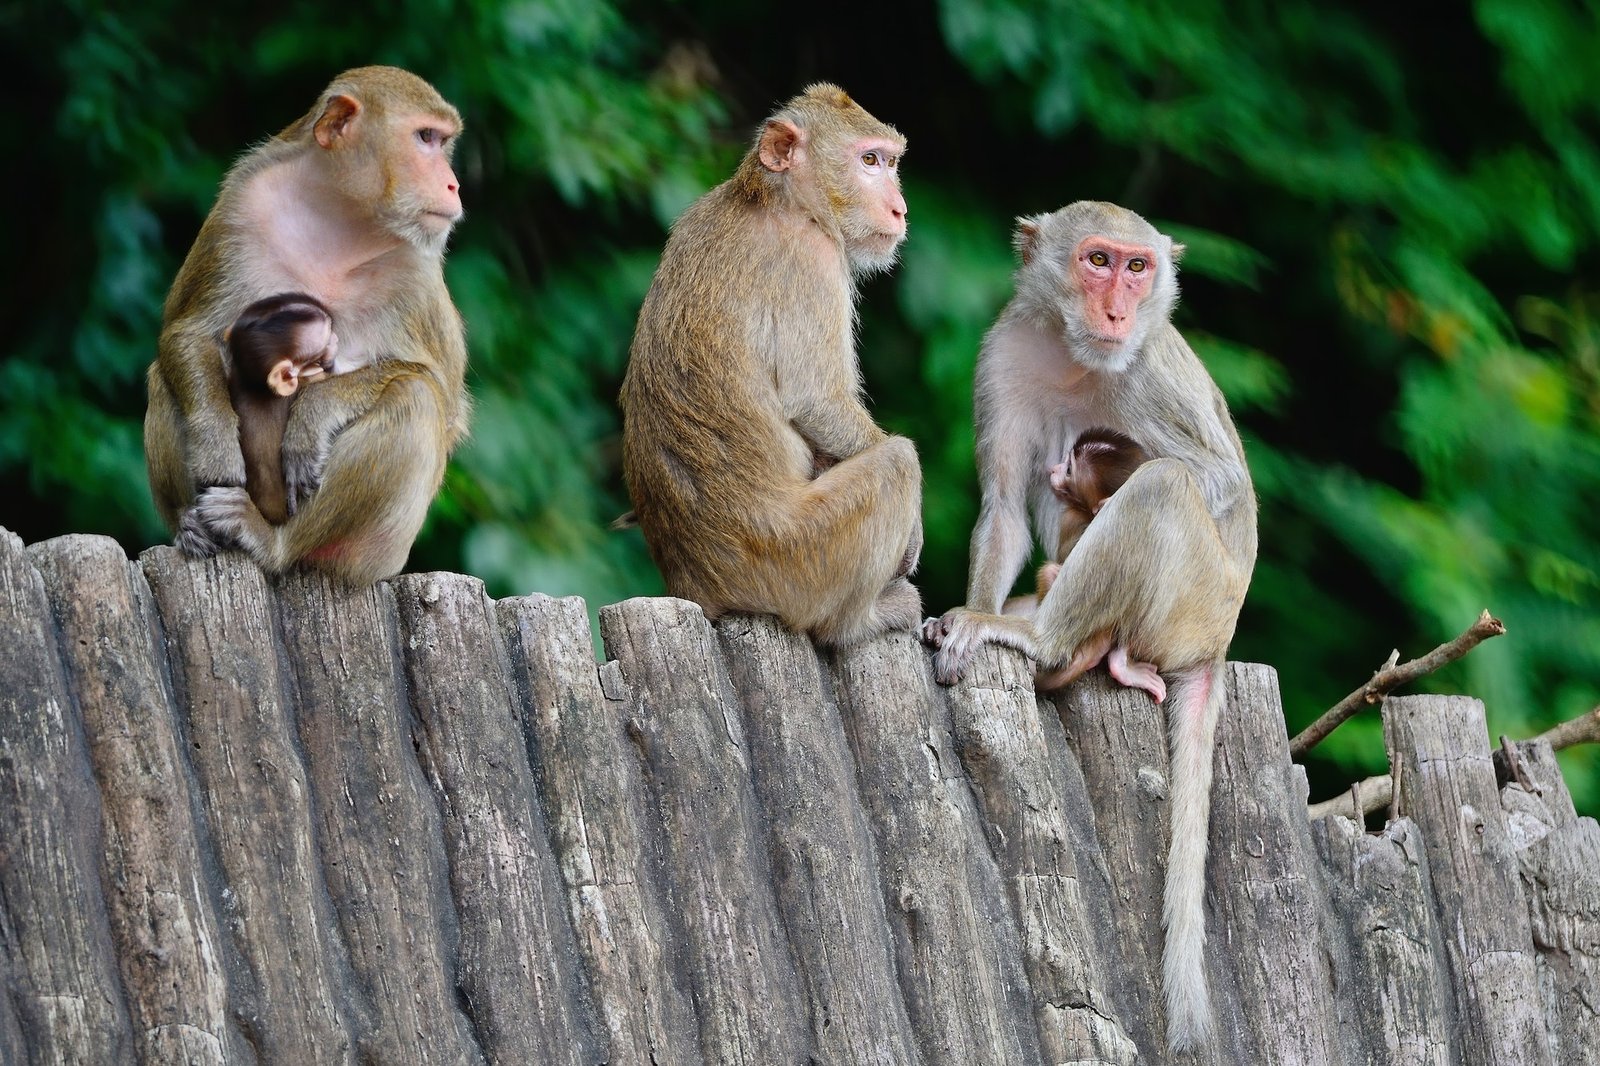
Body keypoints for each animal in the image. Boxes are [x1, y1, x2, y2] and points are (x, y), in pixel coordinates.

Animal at [619, 83, 923, 647]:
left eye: (890, 162)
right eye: (869, 160)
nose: (900, 209)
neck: (773, 199)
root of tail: (697, 587)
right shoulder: (813, 260)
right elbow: (817, 400)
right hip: (797, 558)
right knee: (897, 462)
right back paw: (860, 621)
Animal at [922, 201, 1257, 1052]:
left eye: (1138, 269)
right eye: (1098, 261)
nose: (1118, 312)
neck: (1075, 353)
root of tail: (1220, 644)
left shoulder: (1150, 372)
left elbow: (1218, 481)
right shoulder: (1002, 353)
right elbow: (1005, 508)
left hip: (1195, 597)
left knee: (1165, 487)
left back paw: (1045, 642)